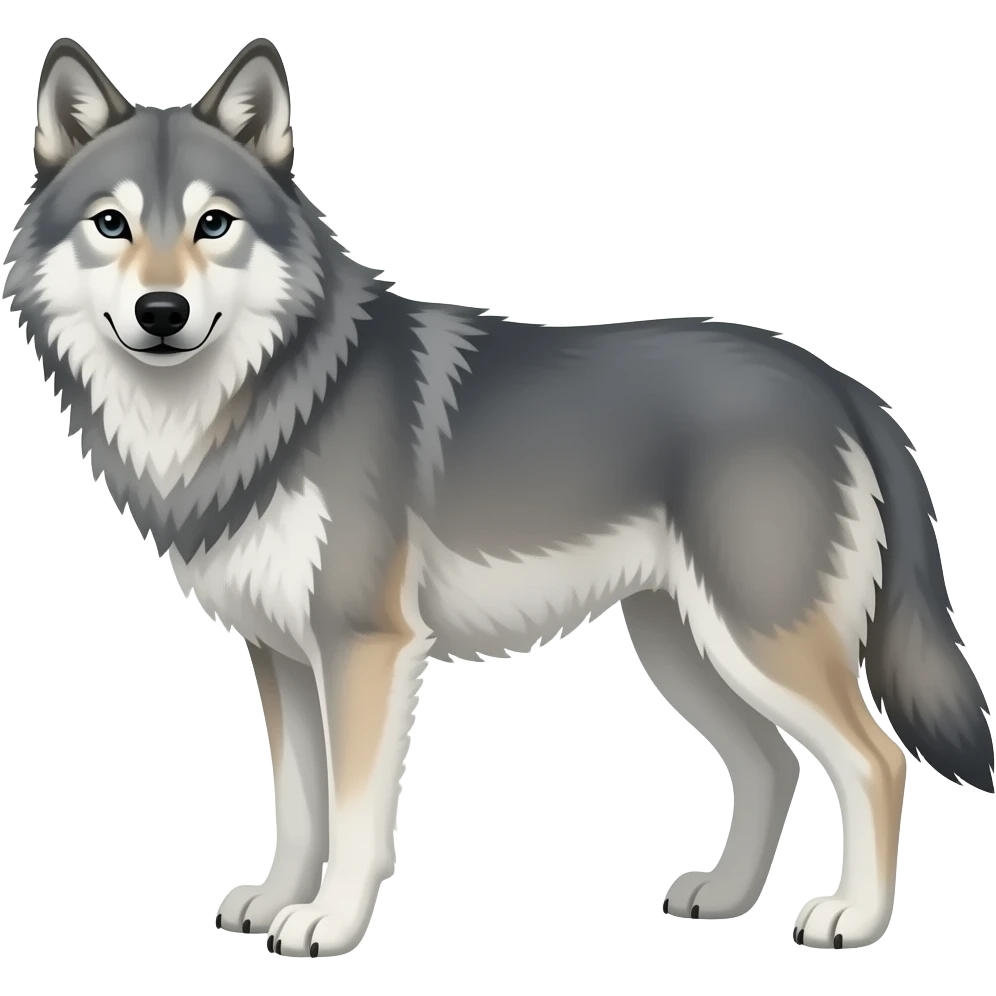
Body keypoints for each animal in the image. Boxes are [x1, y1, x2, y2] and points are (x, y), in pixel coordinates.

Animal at [4, 35, 992, 958]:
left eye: (214, 224)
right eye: (110, 224)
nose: (162, 313)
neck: (259, 401)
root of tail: (838, 382)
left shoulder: (365, 648)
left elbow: (355, 816)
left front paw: (328, 923)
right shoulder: (280, 655)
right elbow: (299, 807)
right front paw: (277, 900)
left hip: (755, 641)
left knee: (876, 760)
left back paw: (853, 918)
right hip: (685, 648)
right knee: (772, 766)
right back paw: (724, 897)